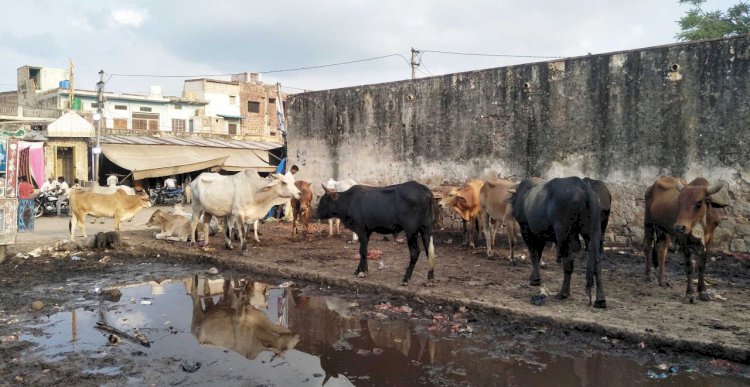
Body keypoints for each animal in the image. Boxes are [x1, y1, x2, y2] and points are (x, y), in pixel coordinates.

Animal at [512, 177, 612, 310]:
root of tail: (584, 189)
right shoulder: (541, 234)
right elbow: (538, 254)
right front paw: (534, 276)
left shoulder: (526, 229)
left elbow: (534, 254)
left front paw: (535, 279)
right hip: (595, 232)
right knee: (597, 261)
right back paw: (600, 300)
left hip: (563, 234)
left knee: (568, 261)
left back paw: (563, 293)